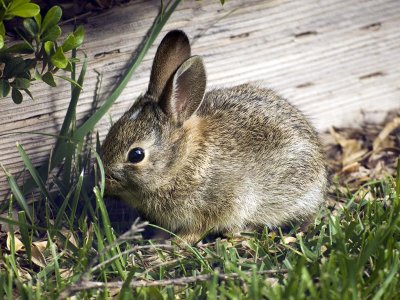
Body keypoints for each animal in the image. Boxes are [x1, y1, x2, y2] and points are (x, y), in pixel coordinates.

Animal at [101, 29, 326, 244]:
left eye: (136, 155)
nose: (104, 183)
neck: (183, 162)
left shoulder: (219, 205)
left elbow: (198, 229)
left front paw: (175, 243)